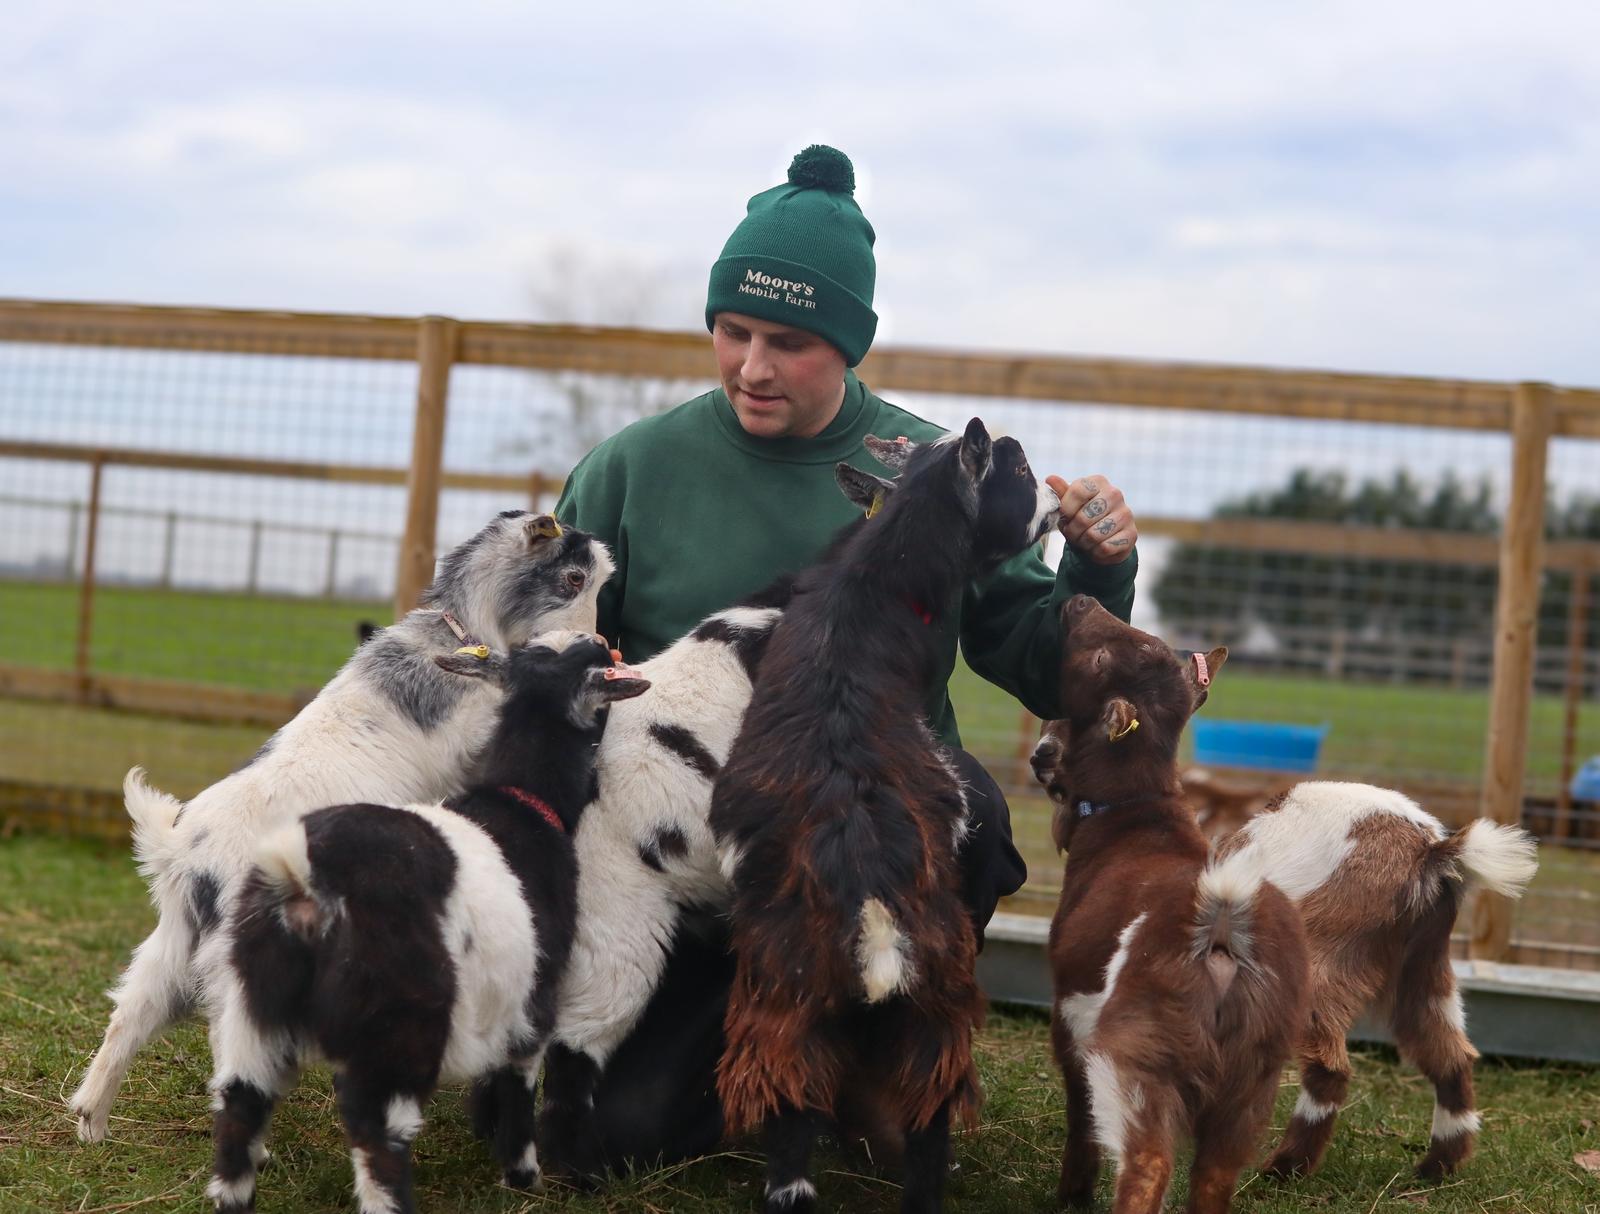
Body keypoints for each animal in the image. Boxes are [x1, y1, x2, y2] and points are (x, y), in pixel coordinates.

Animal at [72, 512, 611, 1143]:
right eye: (573, 578)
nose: (602, 646)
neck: (460, 631)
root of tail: (184, 852)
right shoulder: (473, 738)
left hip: (173, 949)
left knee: (129, 1015)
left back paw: (91, 1122)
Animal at [205, 632, 649, 1214]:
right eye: (588, 661)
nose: (601, 639)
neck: (524, 801)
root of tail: (306, 879)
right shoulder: (537, 995)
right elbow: (519, 1082)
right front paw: (522, 1175)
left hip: (255, 1007)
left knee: (239, 1115)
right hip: (398, 1025)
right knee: (378, 1142)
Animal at [710, 418, 1061, 1214]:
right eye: (1020, 470)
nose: (1059, 497)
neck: (868, 588)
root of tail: (870, 907)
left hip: (802, 1010)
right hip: (923, 1011)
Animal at [1042, 594, 1307, 1214]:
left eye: (1101, 658)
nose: (1080, 599)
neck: (1136, 816)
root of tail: (1221, 931)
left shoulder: (1070, 1015)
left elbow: (1079, 1118)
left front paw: (1071, 1195)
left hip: (1144, 1054)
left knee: (1148, 1162)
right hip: (1253, 1075)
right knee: (1215, 1174)